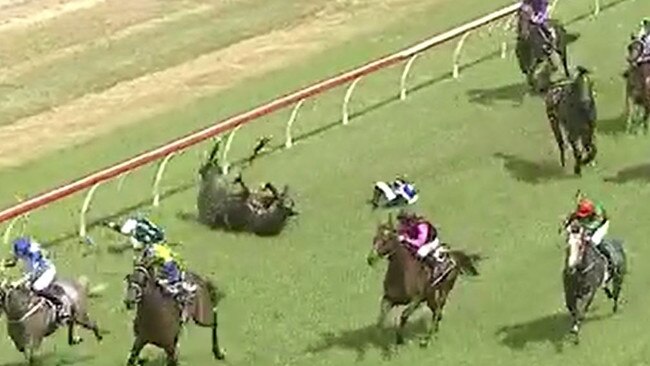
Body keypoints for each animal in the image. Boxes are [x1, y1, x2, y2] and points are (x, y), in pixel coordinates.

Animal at [364, 216, 480, 348]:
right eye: (374, 239)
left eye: (386, 240)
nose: (370, 259)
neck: (401, 274)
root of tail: (453, 255)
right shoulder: (388, 298)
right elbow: (380, 319)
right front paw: (378, 338)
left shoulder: (417, 299)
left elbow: (404, 315)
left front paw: (399, 340)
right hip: (430, 295)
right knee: (435, 310)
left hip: (445, 288)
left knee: (438, 308)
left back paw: (428, 338)